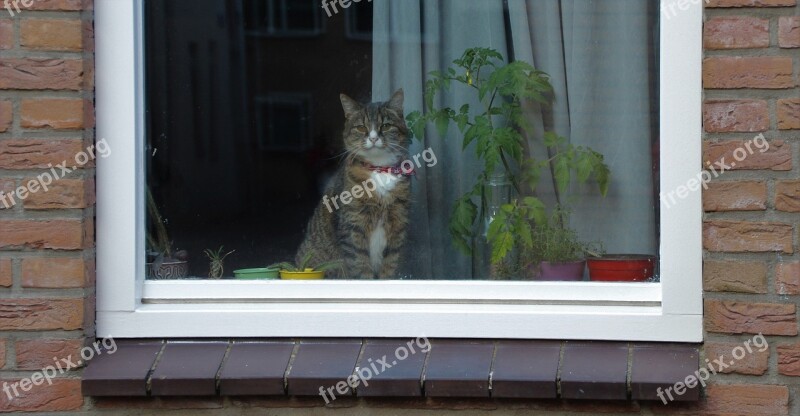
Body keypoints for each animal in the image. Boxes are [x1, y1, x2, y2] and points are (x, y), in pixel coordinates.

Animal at [296, 90, 416, 280]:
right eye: (361, 127)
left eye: (386, 125)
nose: (373, 138)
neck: (379, 169)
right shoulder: (353, 225)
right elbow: (360, 266)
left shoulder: (398, 221)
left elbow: (390, 265)